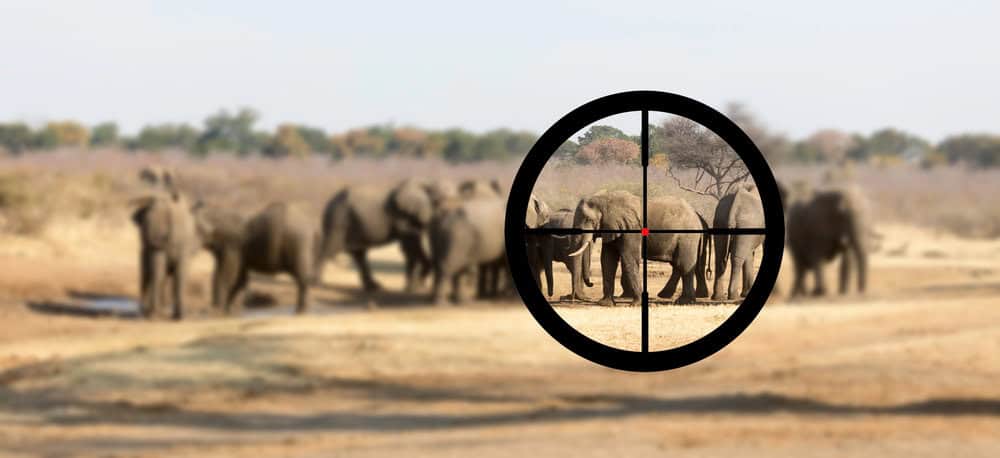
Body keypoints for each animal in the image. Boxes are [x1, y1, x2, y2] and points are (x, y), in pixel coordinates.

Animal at [572, 190, 712, 308]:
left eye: (588, 219)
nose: (591, 283)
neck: (605, 198)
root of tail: (697, 216)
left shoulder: (631, 229)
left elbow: (629, 258)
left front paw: (635, 304)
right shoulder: (611, 227)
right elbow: (607, 260)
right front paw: (605, 304)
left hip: (687, 237)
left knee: (684, 265)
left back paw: (683, 302)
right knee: (679, 264)